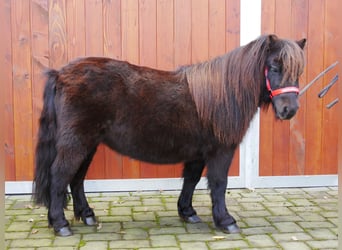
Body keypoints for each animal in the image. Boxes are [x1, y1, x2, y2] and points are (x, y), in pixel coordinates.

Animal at [33, 34, 306, 236]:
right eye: (274, 66)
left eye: (299, 71)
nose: (289, 110)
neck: (221, 94)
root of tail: (60, 74)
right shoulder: (221, 150)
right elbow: (219, 184)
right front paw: (226, 221)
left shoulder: (198, 153)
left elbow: (191, 180)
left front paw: (188, 212)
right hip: (76, 143)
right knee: (60, 176)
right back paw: (60, 224)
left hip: (88, 144)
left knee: (76, 178)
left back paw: (87, 216)